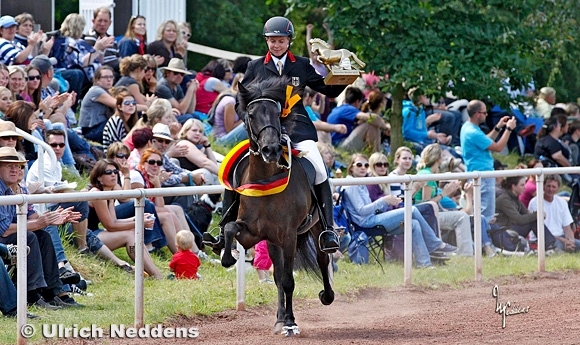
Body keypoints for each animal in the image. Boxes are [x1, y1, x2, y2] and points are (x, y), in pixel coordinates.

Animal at [220, 76, 334, 334]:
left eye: (276, 113)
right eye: (251, 115)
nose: (270, 149)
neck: (265, 180)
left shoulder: (289, 235)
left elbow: (289, 280)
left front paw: (291, 323)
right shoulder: (252, 232)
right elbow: (231, 228)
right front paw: (228, 258)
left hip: (314, 228)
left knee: (322, 259)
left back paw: (326, 296)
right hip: (272, 241)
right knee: (278, 275)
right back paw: (280, 318)